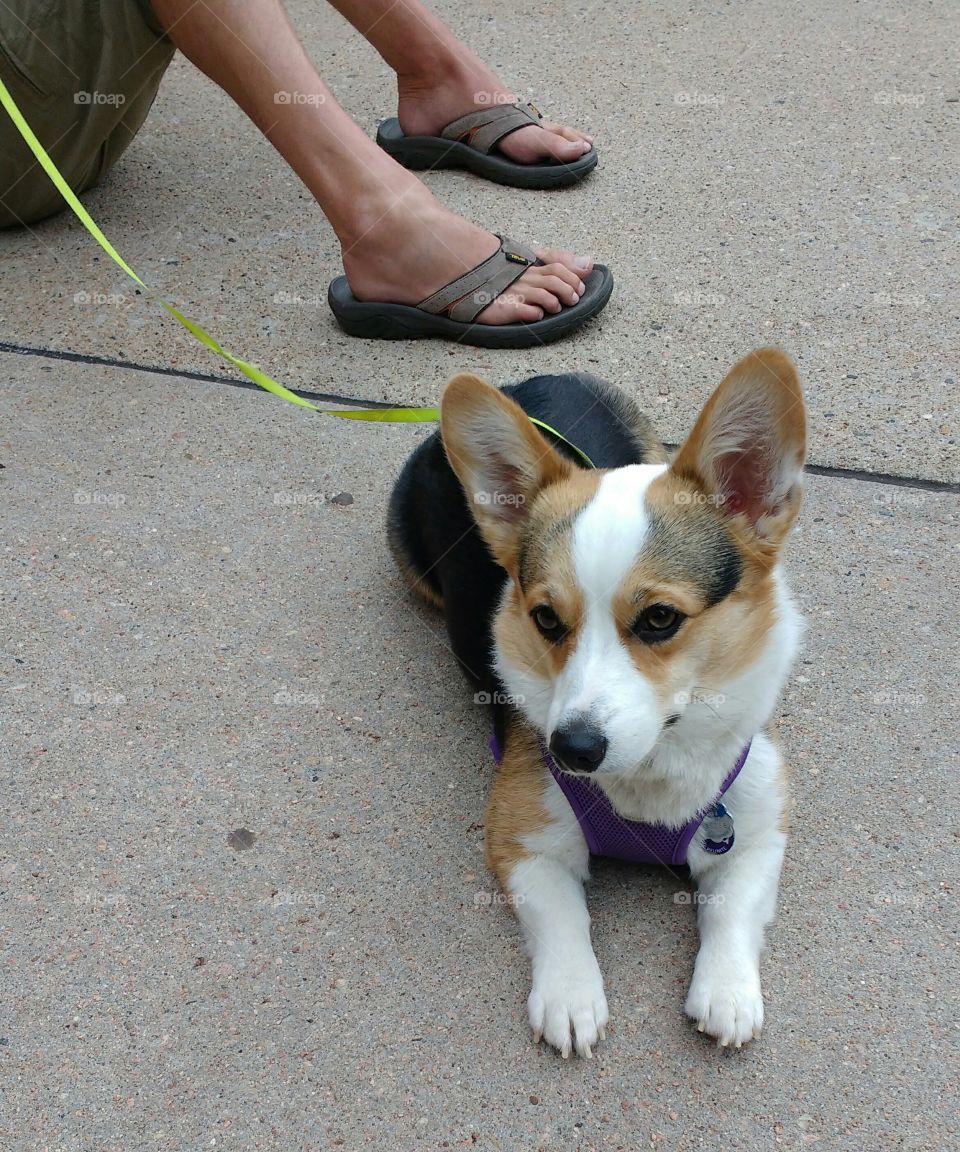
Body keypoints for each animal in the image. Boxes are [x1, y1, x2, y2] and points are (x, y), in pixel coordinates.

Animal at [384, 345, 806, 1055]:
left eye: (660, 618)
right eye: (545, 619)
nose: (573, 750)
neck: (649, 777)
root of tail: (528, 379)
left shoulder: (756, 830)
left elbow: (731, 909)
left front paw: (727, 991)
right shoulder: (525, 842)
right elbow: (563, 921)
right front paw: (571, 999)